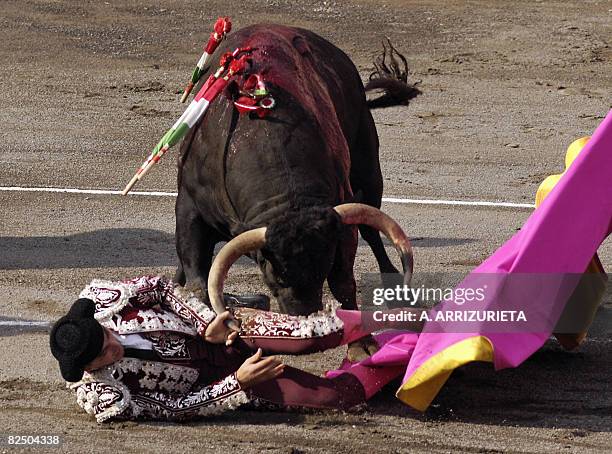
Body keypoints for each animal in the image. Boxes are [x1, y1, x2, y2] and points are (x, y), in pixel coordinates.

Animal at [175, 25, 418, 362]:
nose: (304, 317)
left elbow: (344, 281)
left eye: (322, 268)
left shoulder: (340, 216)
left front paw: (362, 344)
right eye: (275, 277)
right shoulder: (190, 208)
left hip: (368, 169)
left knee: (372, 229)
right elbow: (198, 281)